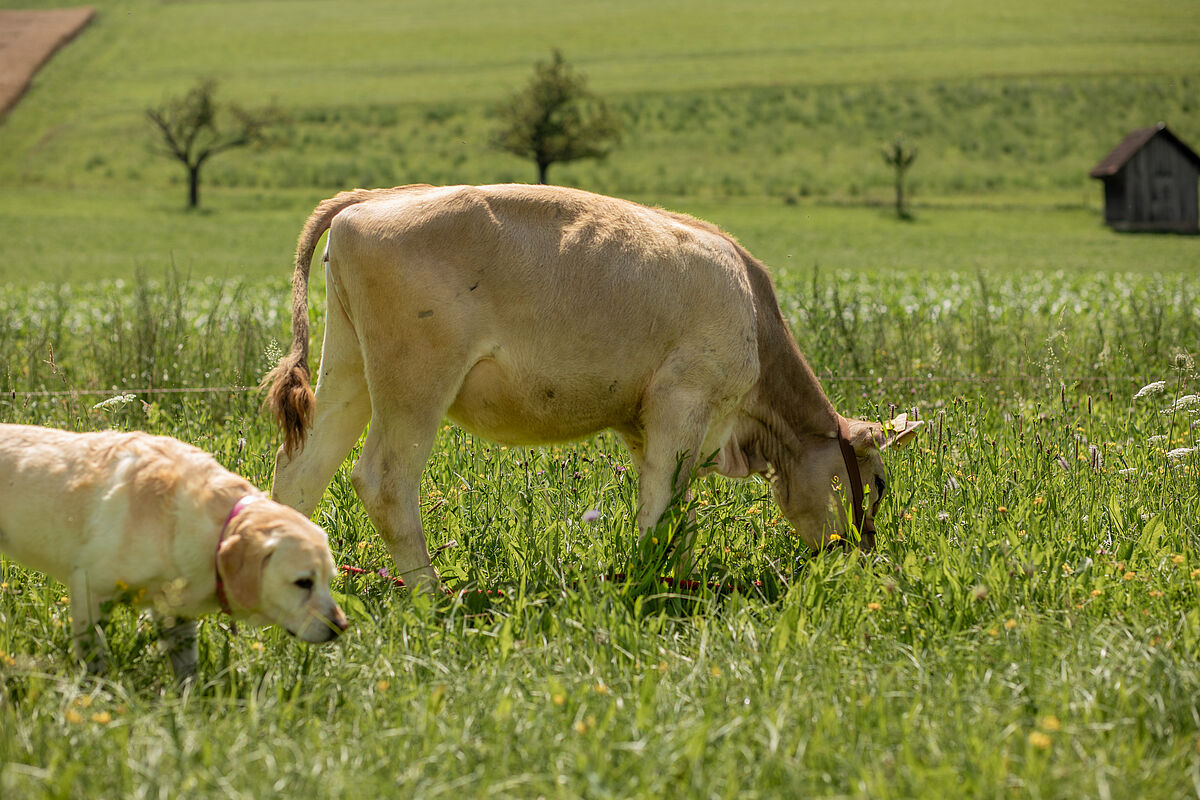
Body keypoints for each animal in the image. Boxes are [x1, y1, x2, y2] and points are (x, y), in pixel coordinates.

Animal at [0, 424, 348, 676]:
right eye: (303, 582)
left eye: (329, 580)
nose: (341, 627)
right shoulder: (89, 588)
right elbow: (92, 655)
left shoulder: (176, 614)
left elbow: (186, 670)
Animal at [267, 184, 921, 592]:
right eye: (879, 484)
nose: (856, 558)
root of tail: (374, 200)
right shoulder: (683, 401)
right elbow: (660, 510)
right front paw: (654, 588)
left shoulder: (647, 424)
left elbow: (676, 510)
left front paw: (680, 580)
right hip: (415, 381)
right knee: (383, 481)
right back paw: (433, 598)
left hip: (348, 370)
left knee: (300, 473)